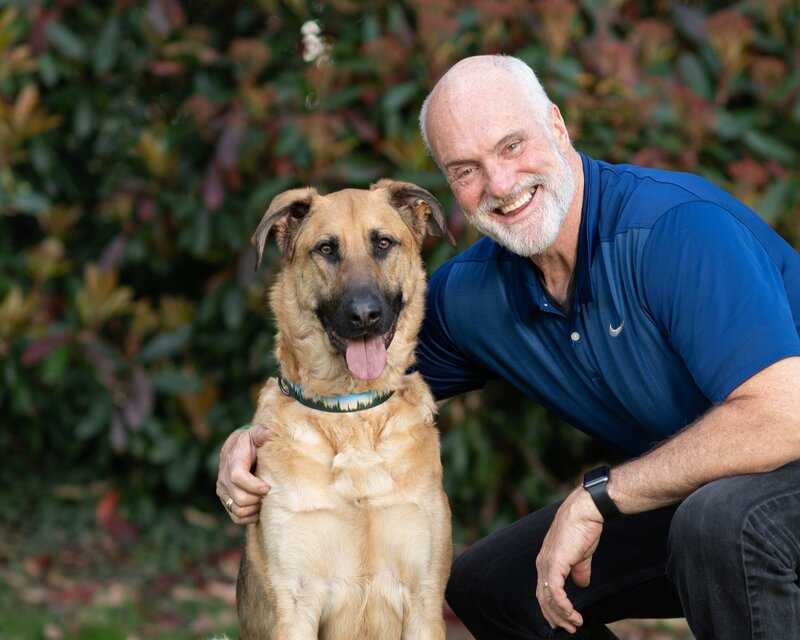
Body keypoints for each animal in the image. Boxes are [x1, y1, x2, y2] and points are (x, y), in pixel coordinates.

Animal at [234, 180, 454, 640]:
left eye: (383, 243)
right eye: (326, 249)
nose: (364, 315)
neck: (352, 413)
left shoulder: (424, 600)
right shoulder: (295, 603)